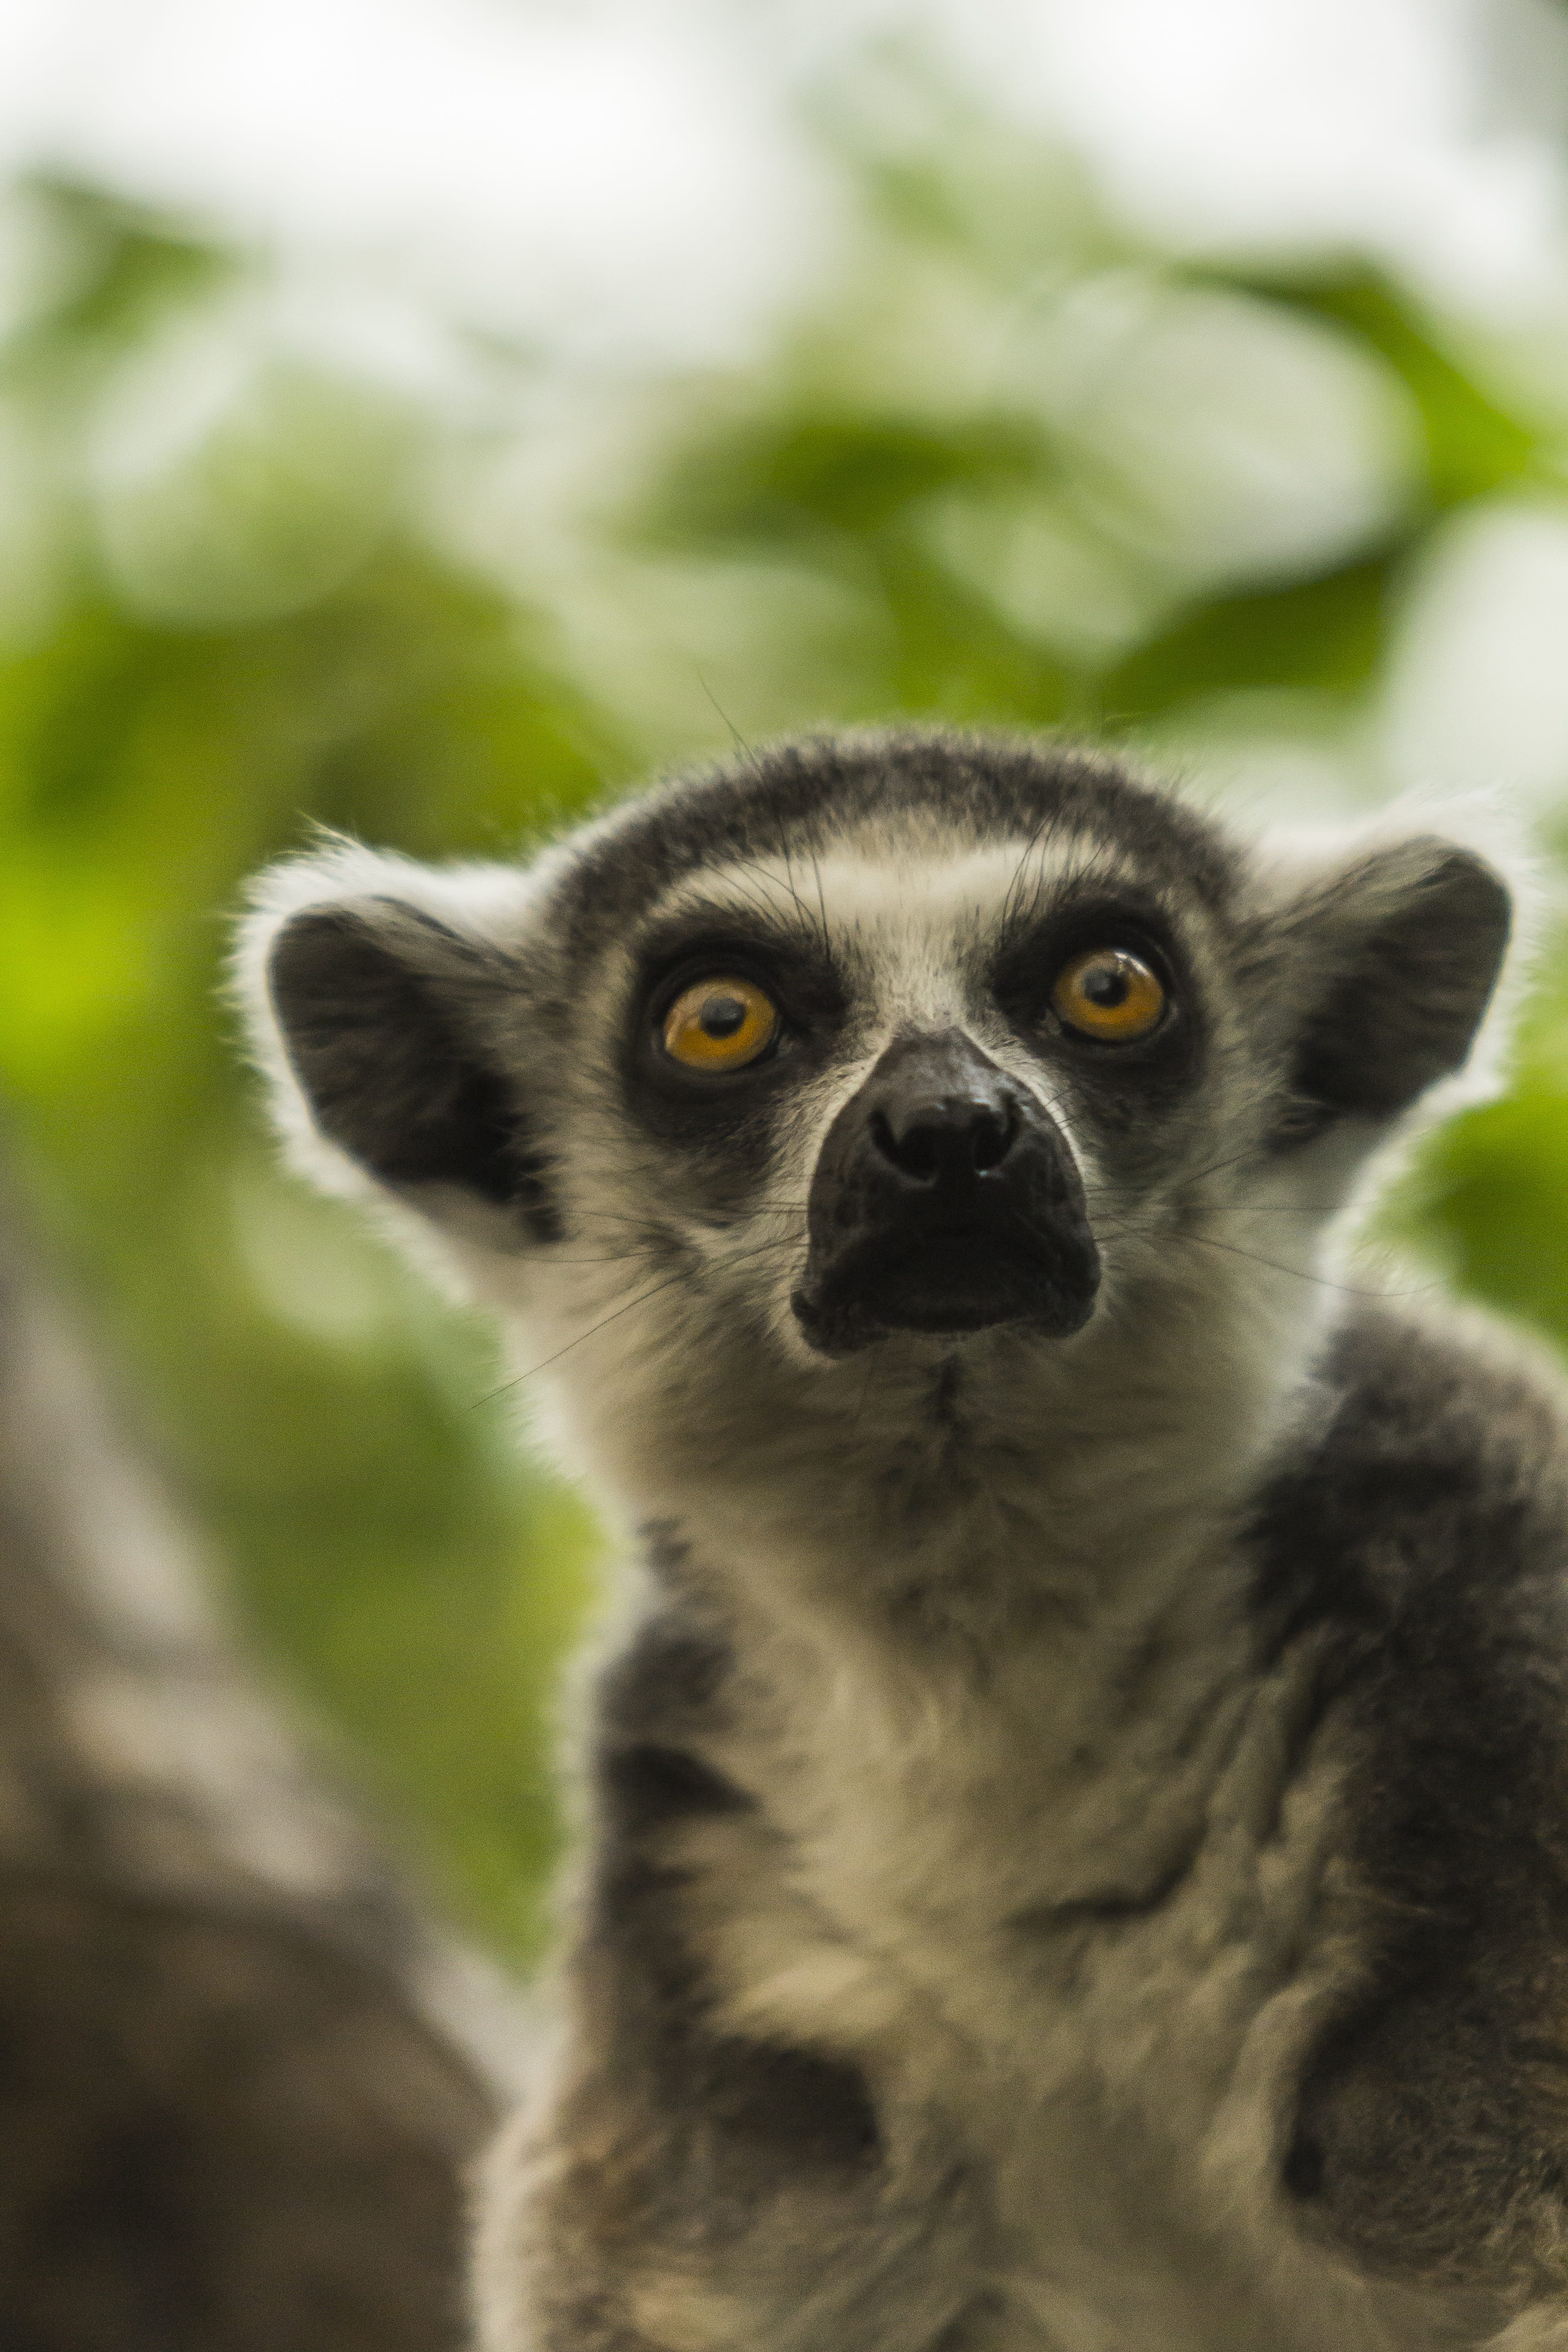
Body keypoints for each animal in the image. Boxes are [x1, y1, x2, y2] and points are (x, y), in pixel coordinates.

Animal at [236, 725, 1568, 2350]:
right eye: (721, 1020)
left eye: (1110, 987)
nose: (951, 1132)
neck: (978, 1649)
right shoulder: (703, 1944)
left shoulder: (1499, 1656)